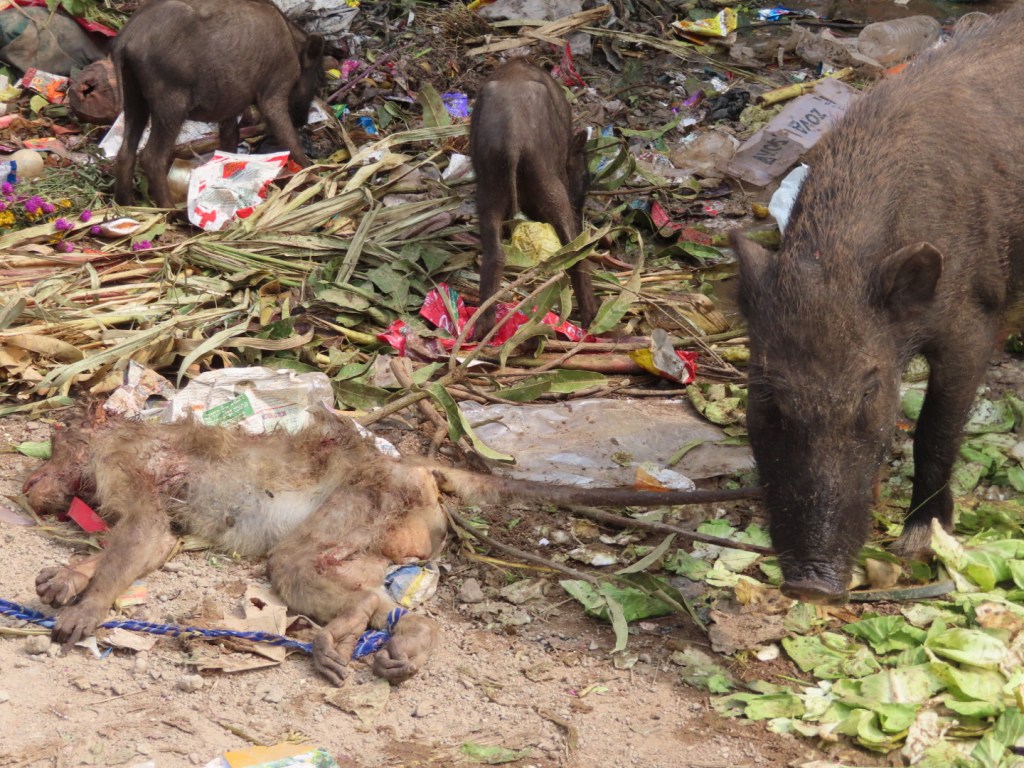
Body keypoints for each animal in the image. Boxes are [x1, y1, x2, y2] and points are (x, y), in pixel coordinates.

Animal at [21, 406, 756, 685]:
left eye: (48, 456)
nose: (29, 484)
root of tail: (416, 466)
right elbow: (158, 545)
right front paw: (74, 576)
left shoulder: (123, 464)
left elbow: (146, 535)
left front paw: (89, 602)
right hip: (401, 523)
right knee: (361, 579)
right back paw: (402, 634)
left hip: (373, 496)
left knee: (299, 559)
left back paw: (347, 627)